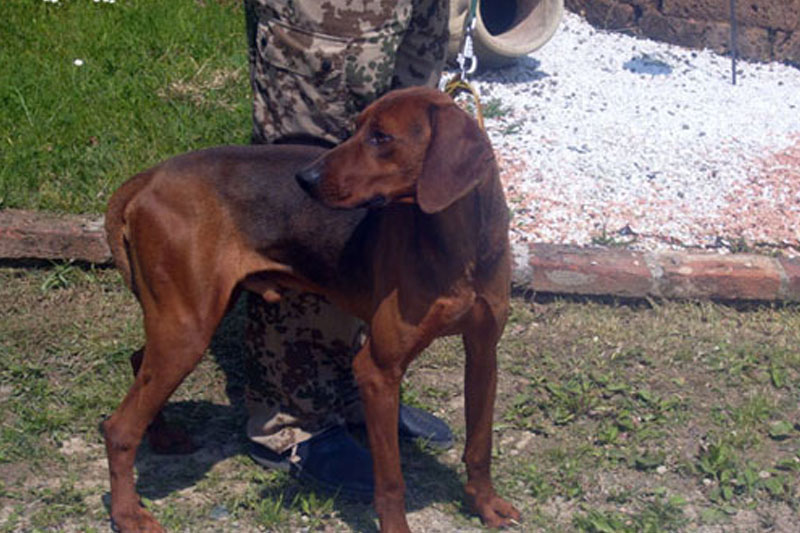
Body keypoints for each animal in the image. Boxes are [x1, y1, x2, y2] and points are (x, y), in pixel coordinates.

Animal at [103, 85, 520, 528]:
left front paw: (486, 504)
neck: (459, 244)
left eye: (380, 137)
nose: (305, 178)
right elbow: (391, 480)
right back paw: (128, 514)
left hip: (186, 318)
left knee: (138, 361)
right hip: (188, 329)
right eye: (356, 127)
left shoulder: (483, 353)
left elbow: (480, 446)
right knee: (118, 428)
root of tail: (150, 177)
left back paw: (162, 436)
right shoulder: (378, 370)